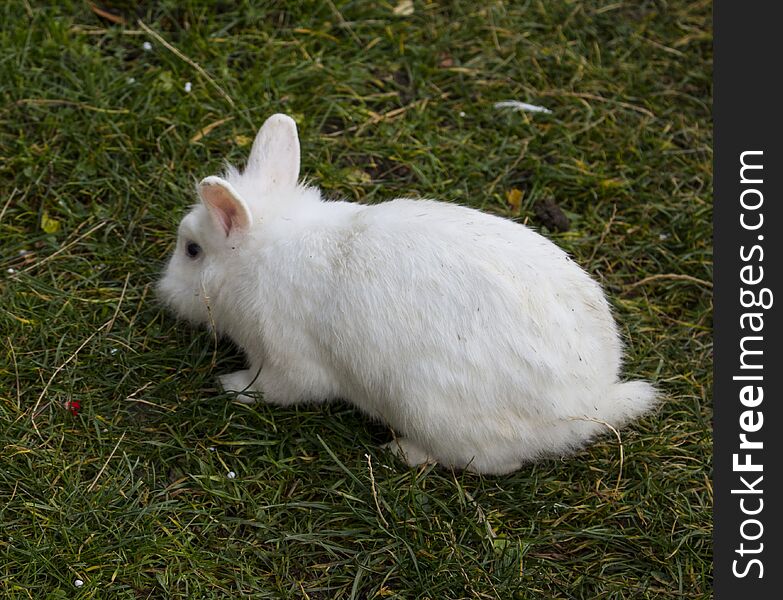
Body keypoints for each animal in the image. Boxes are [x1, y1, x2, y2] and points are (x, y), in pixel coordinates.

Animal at [158, 115, 656, 476]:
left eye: (192, 250)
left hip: (430, 410)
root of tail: (587, 407)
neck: (258, 257)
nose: (164, 293)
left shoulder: (286, 360)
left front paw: (230, 386)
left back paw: (402, 452)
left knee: (493, 463)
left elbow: (275, 389)